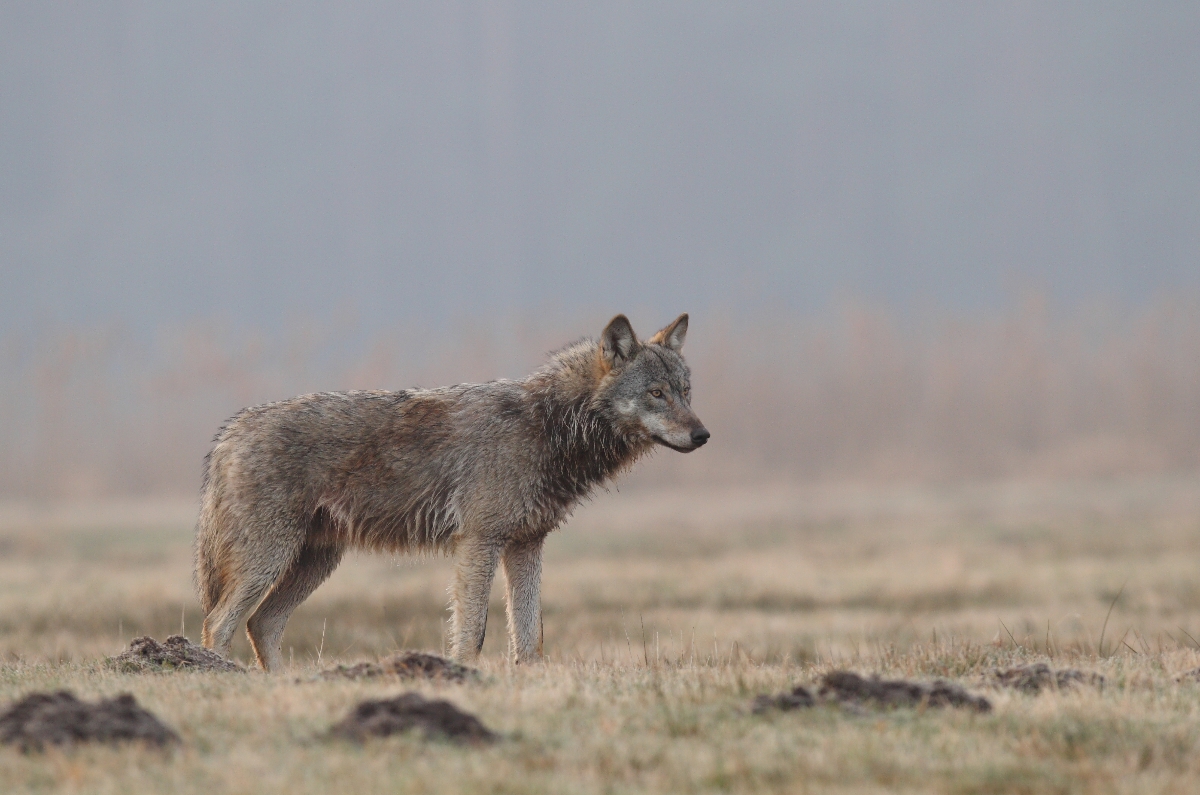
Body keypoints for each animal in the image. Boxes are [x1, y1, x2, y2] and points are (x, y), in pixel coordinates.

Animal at [192, 317, 705, 672]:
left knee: (261, 624)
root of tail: (229, 432)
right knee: (218, 624)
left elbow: (529, 637)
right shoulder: (478, 542)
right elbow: (473, 631)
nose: (703, 435)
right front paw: (463, 677)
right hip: (270, 560)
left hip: (314, 563)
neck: (549, 425)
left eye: (685, 391)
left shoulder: (526, 545)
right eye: (655, 394)